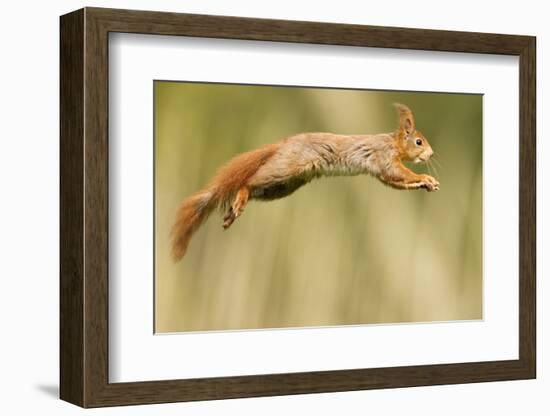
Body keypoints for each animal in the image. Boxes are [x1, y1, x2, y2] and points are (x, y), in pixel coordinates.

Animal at [170, 103, 442, 260]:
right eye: (418, 141)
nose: (430, 154)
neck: (392, 143)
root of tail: (281, 144)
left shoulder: (383, 171)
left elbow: (397, 181)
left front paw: (427, 183)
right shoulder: (384, 159)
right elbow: (398, 173)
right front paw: (425, 177)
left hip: (282, 187)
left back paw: (233, 211)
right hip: (284, 170)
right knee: (248, 182)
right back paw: (239, 198)